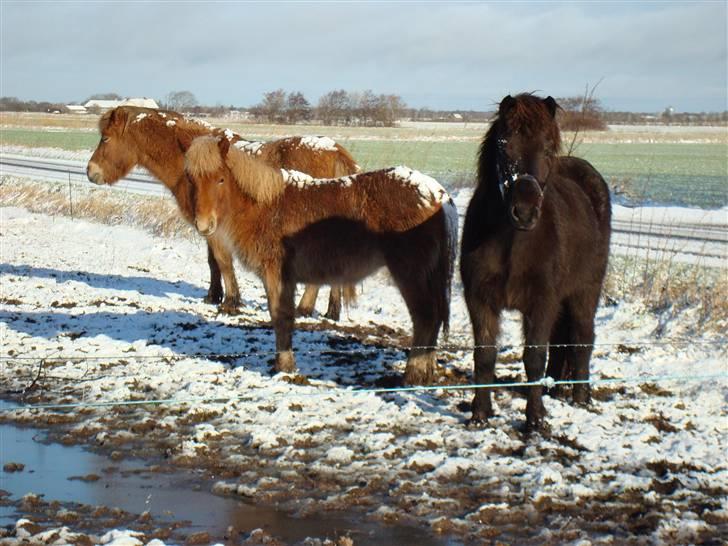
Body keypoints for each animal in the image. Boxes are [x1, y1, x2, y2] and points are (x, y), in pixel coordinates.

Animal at [86, 105, 362, 318]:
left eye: (106, 138)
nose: (91, 172)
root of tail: (336, 150)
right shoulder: (208, 224)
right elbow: (213, 262)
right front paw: (214, 296)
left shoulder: (216, 228)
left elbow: (222, 261)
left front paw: (230, 302)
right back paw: (331, 311)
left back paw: (305, 308)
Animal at [183, 135, 456, 382]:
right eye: (191, 179)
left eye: (220, 179)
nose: (204, 225)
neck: (267, 206)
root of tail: (438, 194)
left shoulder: (276, 274)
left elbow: (280, 316)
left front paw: (285, 367)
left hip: (410, 275)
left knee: (425, 317)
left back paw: (414, 374)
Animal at [460, 94, 608, 434]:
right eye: (504, 144)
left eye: (548, 147)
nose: (525, 212)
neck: (512, 244)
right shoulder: (480, 300)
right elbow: (484, 356)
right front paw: (480, 414)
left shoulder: (542, 302)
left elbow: (534, 357)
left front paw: (535, 419)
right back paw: (555, 389)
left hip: (585, 292)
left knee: (582, 339)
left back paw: (581, 397)